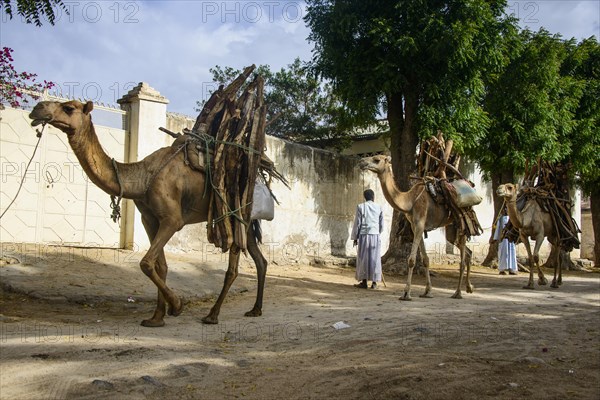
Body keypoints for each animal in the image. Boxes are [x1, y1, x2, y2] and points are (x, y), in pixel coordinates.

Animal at [29, 99, 268, 324]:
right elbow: (160, 265)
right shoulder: (149, 219)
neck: (143, 177)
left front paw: (177, 306)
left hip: (235, 213)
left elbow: (145, 262)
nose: (37, 108)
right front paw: (156, 318)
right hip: (245, 223)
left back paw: (212, 315)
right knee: (260, 260)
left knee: (233, 266)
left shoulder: (172, 219)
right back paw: (255, 309)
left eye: (69, 108)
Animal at [358, 155, 476, 300]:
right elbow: (425, 260)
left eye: (376, 159)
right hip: (451, 227)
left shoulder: (420, 222)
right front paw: (427, 292)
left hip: (462, 222)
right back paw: (469, 288)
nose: (361, 162)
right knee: (468, 252)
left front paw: (406, 293)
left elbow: (411, 260)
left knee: (463, 259)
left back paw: (458, 292)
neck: (410, 201)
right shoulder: (416, 227)